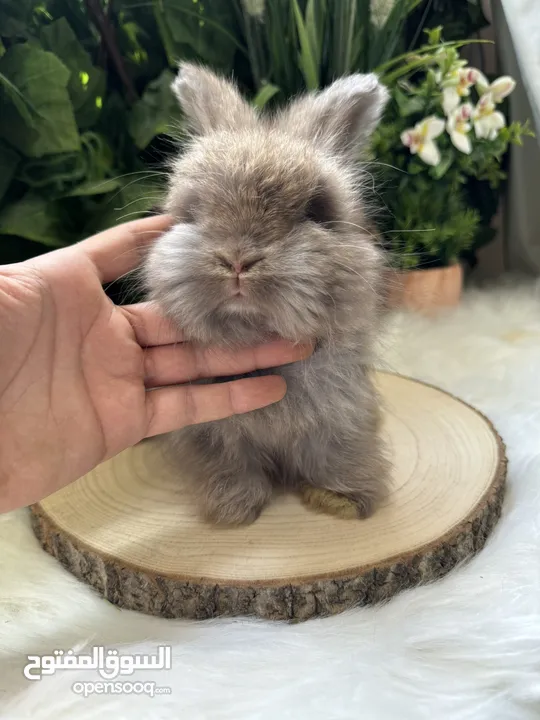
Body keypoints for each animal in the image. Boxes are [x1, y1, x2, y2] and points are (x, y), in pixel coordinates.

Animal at [143, 64, 392, 524]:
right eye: (192, 211)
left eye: (316, 210)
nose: (238, 259)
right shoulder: (213, 435)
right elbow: (230, 465)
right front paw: (233, 509)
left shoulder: (341, 417)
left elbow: (336, 455)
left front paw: (341, 501)